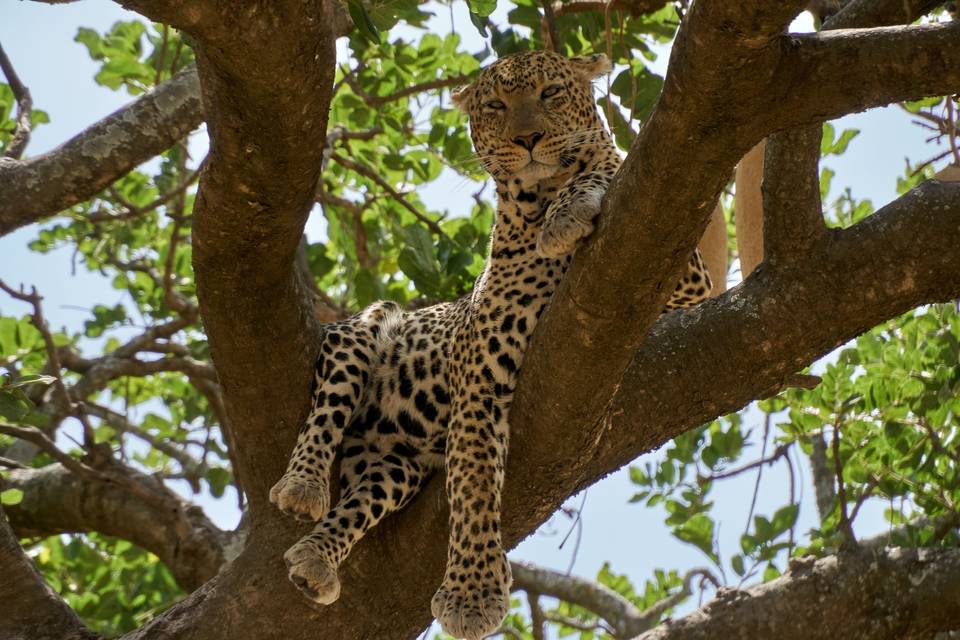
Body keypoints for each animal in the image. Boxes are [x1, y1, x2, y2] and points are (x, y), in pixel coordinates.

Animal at [270, 50, 712, 640]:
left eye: (551, 93)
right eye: (497, 106)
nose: (527, 138)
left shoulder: (684, 280)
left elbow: (604, 167)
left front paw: (573, 207)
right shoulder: (479, 368)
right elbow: (475, 481)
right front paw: (472, 595)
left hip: (397, 467)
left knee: (362, 500)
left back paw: (316, 558)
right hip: (360, 332)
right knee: (325, 416)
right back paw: (302, 488)